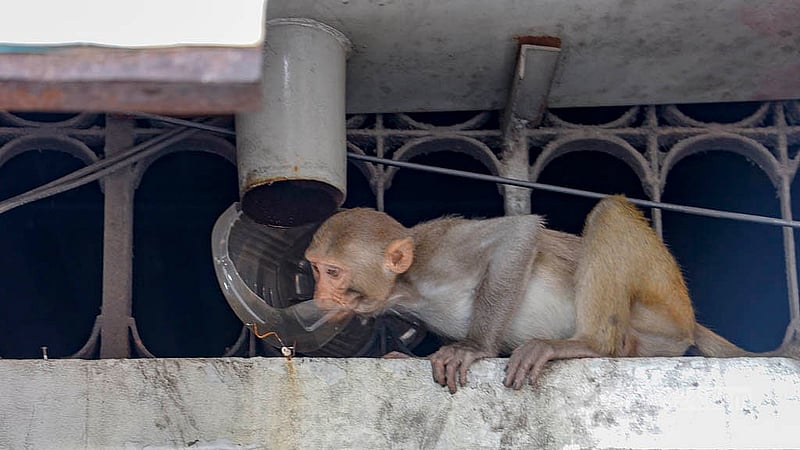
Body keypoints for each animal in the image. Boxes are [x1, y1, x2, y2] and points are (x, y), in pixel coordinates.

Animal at [304, 195, 798, 393]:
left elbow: (519, 234)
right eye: (314, 269)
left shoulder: (441, 250)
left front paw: (472, 348)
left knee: (611, 212)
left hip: (664, 308)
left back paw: (588, 344)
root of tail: (690, 320)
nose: (320, 293)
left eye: (333, 271)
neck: (406, 286)